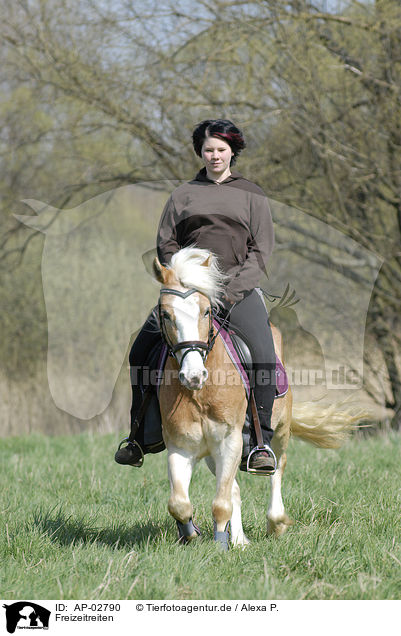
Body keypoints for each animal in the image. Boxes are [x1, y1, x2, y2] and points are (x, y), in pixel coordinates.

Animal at [152, 246, 360, 548]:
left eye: (206, 311)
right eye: (166, 315)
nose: (193, 375)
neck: (202, 393)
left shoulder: (230, 440)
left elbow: (221, 504)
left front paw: (220, 545)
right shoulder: (182, 445)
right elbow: (180, 503)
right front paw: (192, 532)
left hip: (280, 431)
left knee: (277, 469)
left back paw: (276, 523)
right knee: (233, 489)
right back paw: (239, 539)